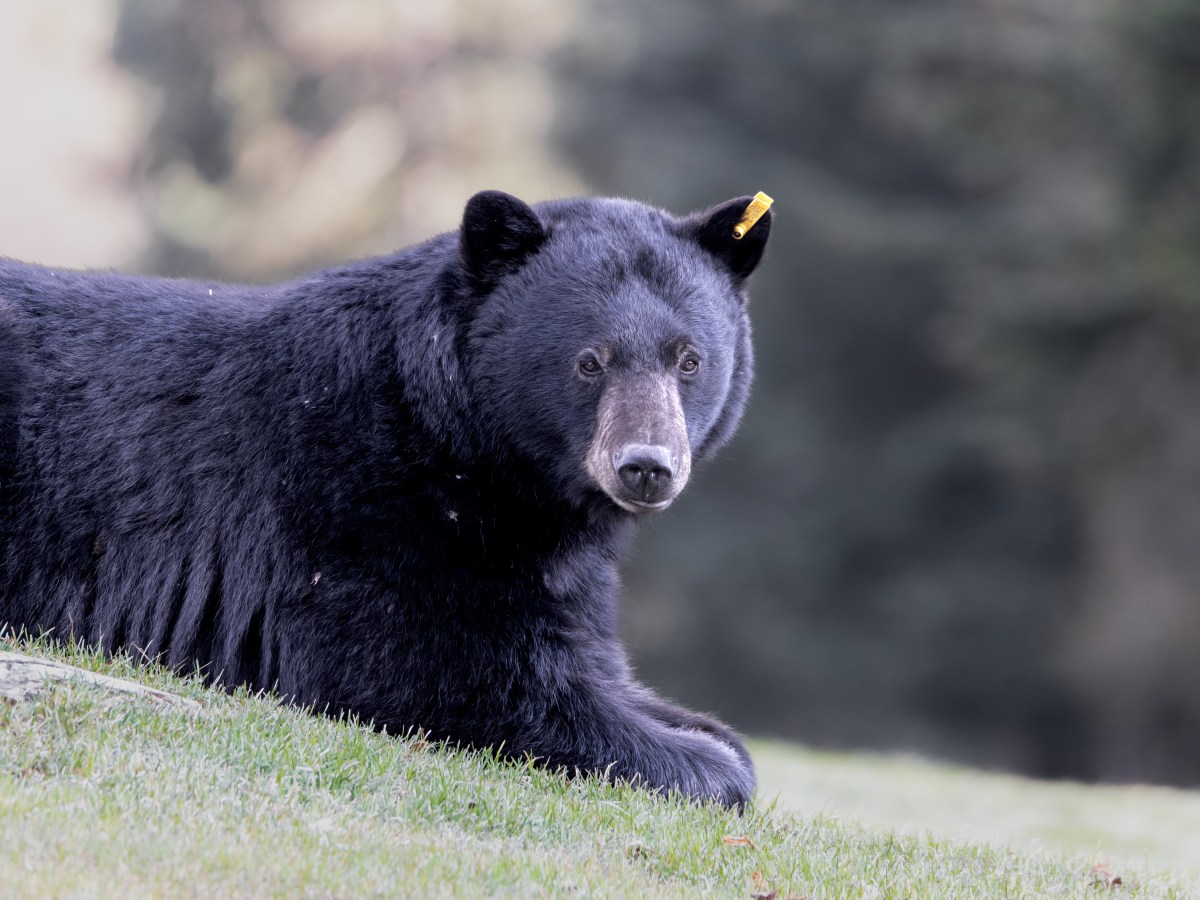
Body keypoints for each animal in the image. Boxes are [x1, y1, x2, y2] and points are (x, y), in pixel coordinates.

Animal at [0, 190, 772, 807]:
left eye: (689, 360)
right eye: (590, 361)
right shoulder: (361, 508)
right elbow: (451, 675)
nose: (645, 466)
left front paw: (704, 730)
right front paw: (704, 763)